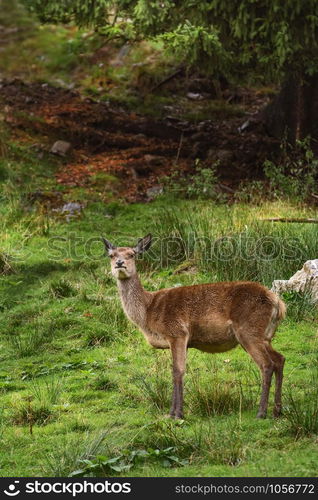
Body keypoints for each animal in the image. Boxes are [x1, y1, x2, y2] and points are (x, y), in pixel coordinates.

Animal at [102, 233, 286, 418]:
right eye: (111, 255)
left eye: (132, 254)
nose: (120, 263)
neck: (148, 313)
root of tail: (278, 303)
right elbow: (177, 371)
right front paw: (172, 412)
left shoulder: (177, 332)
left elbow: (178, 371)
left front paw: (177, 414)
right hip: (265, 336)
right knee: (280, 359)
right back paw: (277, 410)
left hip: (249, 330)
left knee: (267, 364)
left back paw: (261, 412)